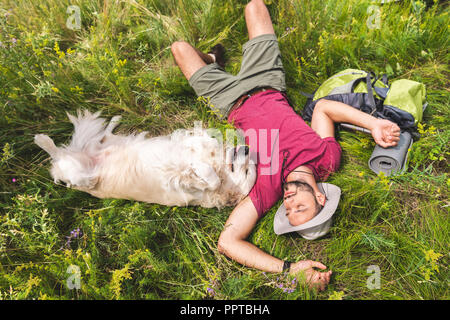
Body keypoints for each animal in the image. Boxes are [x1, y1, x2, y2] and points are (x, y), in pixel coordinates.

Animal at [34, 110, 256, 209]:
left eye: (247, 172)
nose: (247, 149)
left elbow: (211, 179)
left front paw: (201, 170)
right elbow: (203, 144)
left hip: (83, 177)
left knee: (60, 161)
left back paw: (42, 140)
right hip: (100, 147)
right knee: (102, 136)